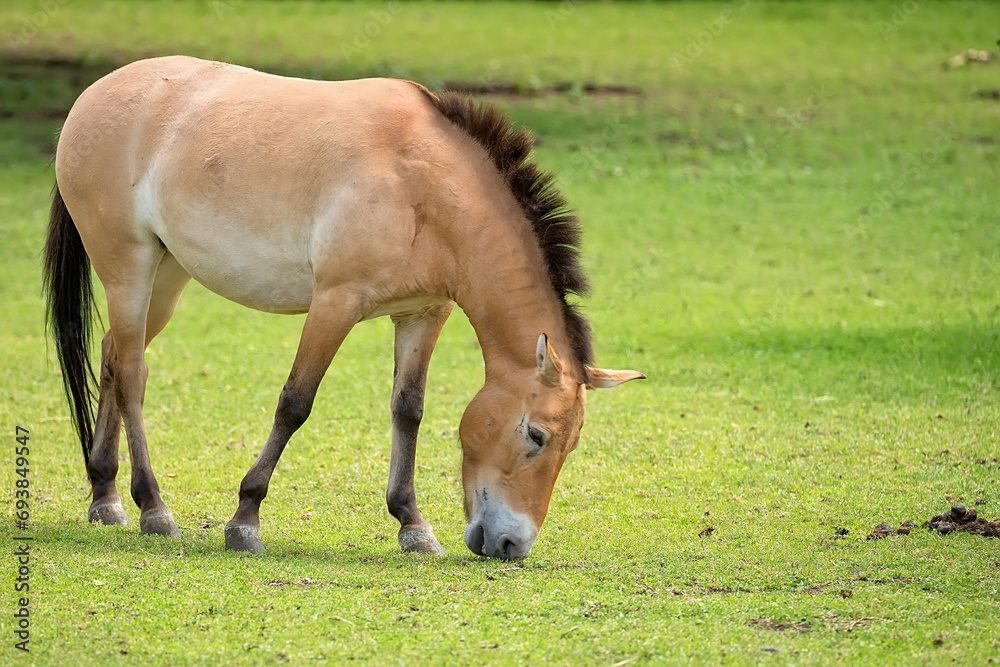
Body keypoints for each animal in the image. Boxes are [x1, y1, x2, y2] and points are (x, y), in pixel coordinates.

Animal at [43, 56, 643, 560]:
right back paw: (152, 508)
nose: (511, 545)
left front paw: (413, 525)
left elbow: (408, 410)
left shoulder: (423, 313)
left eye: (570, 445)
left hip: (165, 279)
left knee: (114, 355)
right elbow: (295, 403)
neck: (421, 182)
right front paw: (245, 519)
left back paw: (105, 496)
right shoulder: (335, 303)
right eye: (536, 435)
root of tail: (93, 95)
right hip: (129, 269)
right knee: (133, 373)